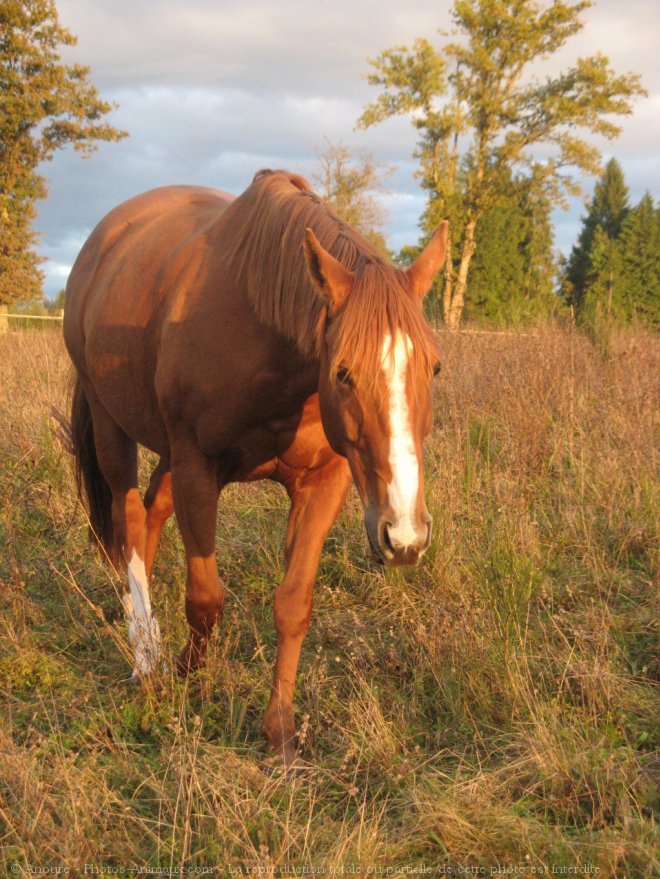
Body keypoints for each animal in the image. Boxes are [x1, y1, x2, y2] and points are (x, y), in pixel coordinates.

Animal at [64, 170, 446, 764]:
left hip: (167, 454)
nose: (404, 537)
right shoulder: (198, 468)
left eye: (433, 367)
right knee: (127, 522)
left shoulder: (323, 482)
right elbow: (205, 599)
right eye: (343, 372)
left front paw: (280, 732)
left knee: (149, 517)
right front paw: (185, 677)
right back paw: (145, 655)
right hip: (113, 428)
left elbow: (293, 604)